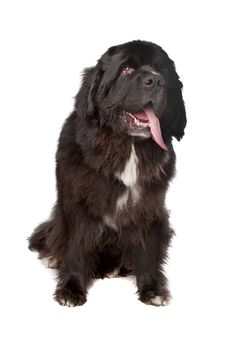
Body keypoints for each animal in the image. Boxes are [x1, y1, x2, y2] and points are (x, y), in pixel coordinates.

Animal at [28, 40, 187, 306]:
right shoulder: (77, 203)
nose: (155, 81)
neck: (126, 146)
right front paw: (71, 289)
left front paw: (152, 289)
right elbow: (76, 246)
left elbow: (148, 249)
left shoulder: (149, 205)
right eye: (126, 70)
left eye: (162, 72)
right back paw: (52, 256)